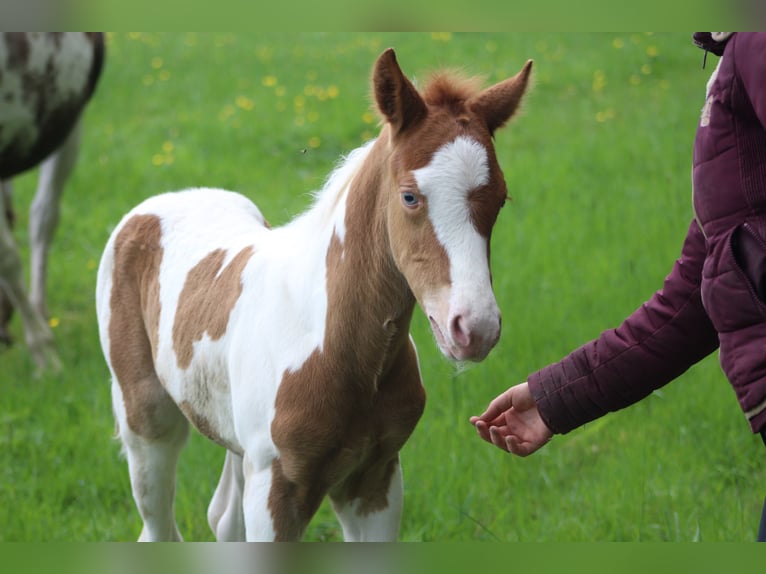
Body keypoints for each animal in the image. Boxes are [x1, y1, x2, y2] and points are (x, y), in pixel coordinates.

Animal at [97, 47, 536, 544]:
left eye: (500, 198)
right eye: (409, 196)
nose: (475, 327)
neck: (335, 345)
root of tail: (154, 206)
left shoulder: (375, 479)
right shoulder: (276, 488)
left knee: (222, 517)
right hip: (147, 419)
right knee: (158, 523)